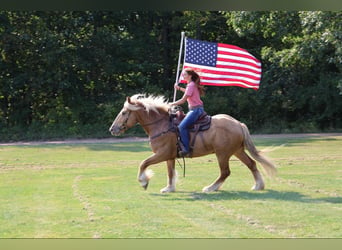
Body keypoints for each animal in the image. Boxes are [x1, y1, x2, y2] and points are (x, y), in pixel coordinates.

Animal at [108, 94, 276, 193]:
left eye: (124, 113)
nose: (112, 129)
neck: (162, 125)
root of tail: (238, 124)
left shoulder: (162, 154)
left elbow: (143, 163)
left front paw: (143, 181)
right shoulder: (169, 156)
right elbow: (170, 172)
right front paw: (169, 188)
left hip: (222, 154)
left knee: (225, 172)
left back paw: (210, 188)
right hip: (237, 151)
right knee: (252, 164)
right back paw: (258, 185)